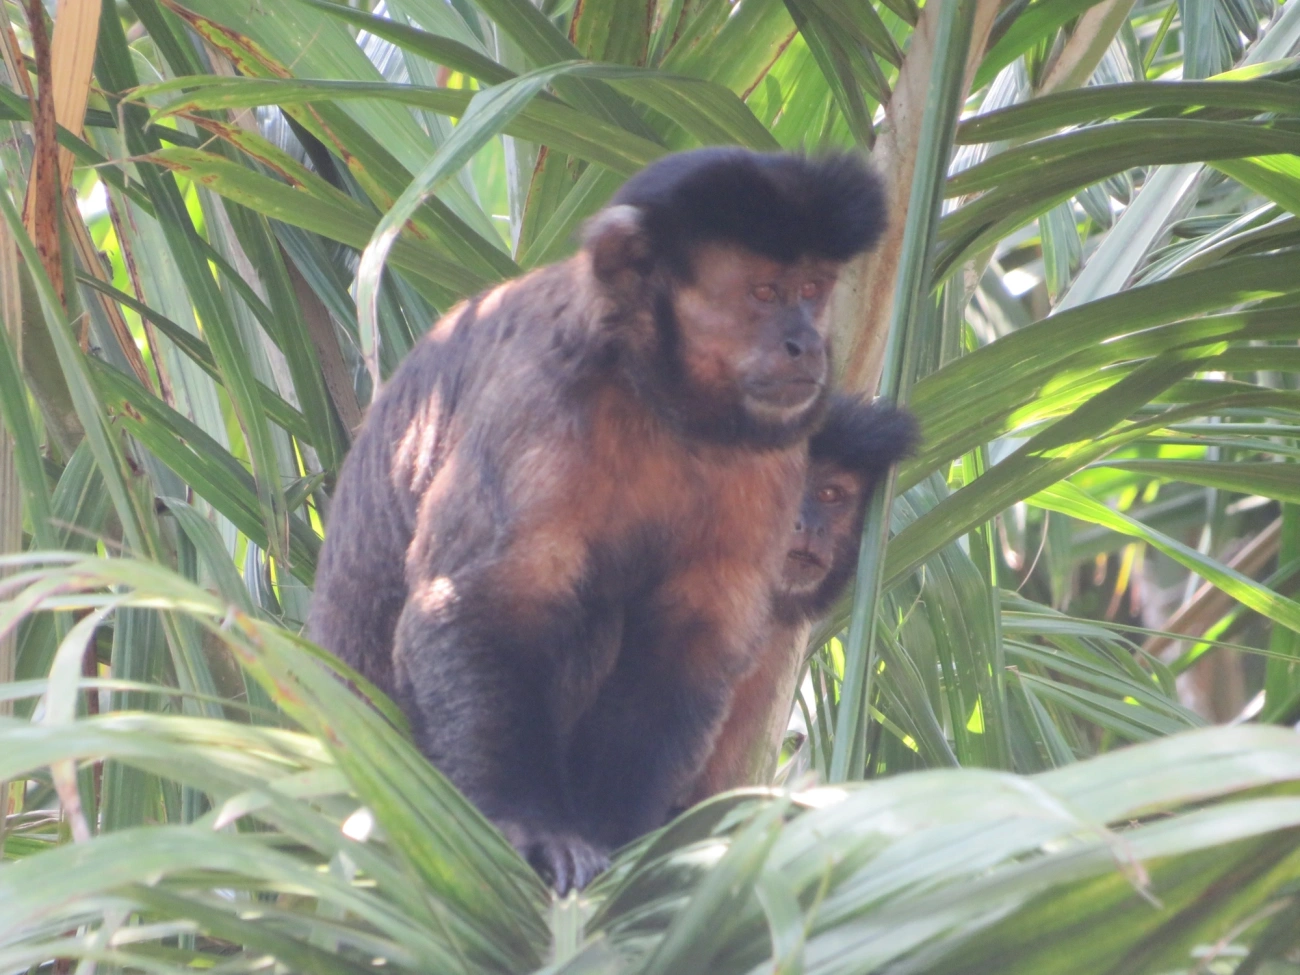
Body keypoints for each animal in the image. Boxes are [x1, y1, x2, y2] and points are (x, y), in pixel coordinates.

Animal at [308, 148, 886, 893]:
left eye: (813, 288)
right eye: (764, 293)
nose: (805, 342)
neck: (657, 402)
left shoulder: (774, 454)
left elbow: (694, 636)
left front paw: (621, 838)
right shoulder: (539, 399)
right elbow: (476, 606)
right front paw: (532, 828)